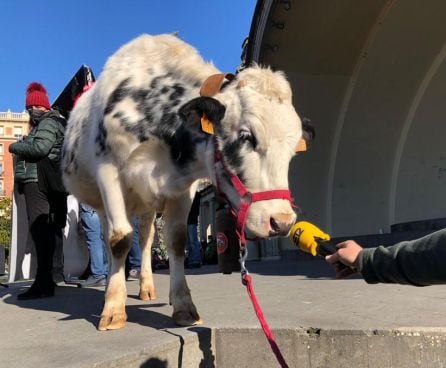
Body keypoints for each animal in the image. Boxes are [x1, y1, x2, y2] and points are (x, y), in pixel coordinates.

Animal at [62, 34, 306, 330]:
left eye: (294, 150)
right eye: (247, 136)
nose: (282, 222)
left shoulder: (183, 188)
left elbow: (177, 241)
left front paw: (183, 306)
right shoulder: (108, 171)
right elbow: (119, 240)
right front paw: (113, 310)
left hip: (145, 206)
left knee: (145, 239)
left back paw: (147, 287)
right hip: (102, 202)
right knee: (113, 238)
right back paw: (110, 287)